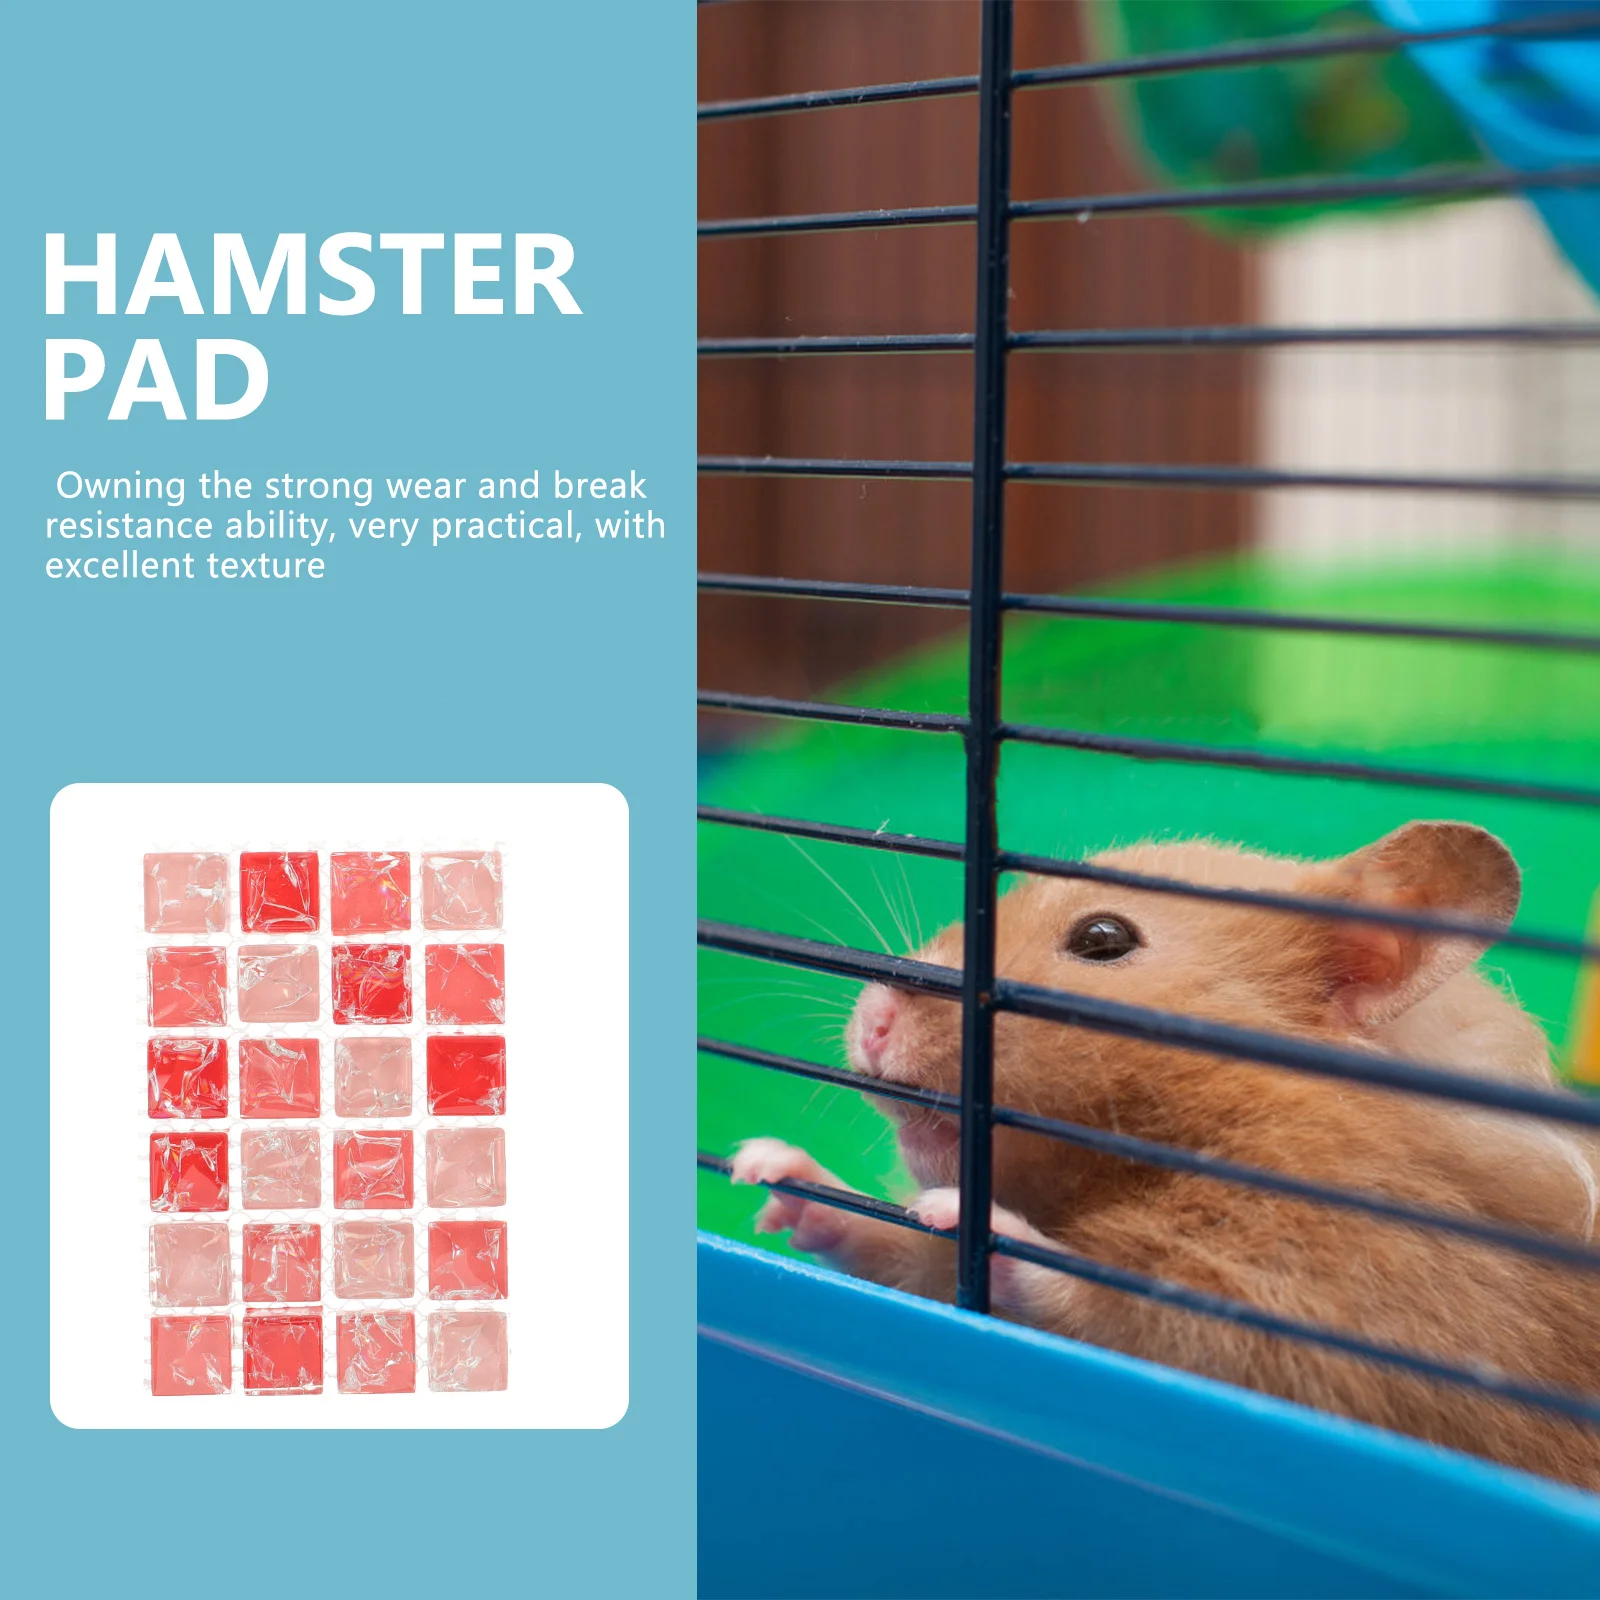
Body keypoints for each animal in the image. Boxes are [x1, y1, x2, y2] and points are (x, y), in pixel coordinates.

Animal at [732, 821, 1600, 1490]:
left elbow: (1124, 1310)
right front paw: (766, 1168)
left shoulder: (1344, 1309)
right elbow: (896, 1250)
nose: (871, 1018)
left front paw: (962, 1214)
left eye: (1102, 939)